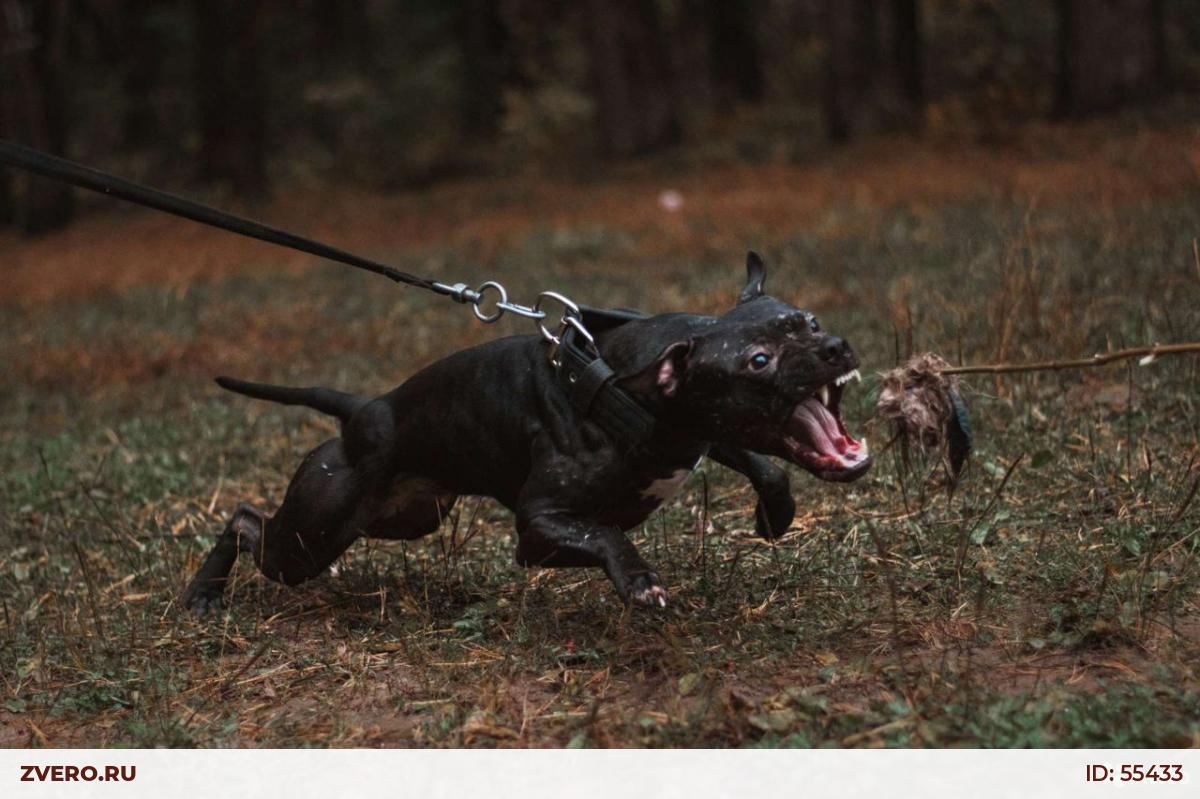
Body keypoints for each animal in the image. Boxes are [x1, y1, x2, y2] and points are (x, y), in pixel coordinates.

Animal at [182, 255, 868, 609]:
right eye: (758, 361)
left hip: (404, 517)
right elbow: (606, 535)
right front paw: (639, 579)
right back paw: (204, 594)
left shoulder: (696, 437)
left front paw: (775, 515)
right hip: (310, 539)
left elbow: (766, 464)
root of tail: (366, 408)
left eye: (809, 321)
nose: (836, 346)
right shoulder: (539, 527)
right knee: (246, 520)